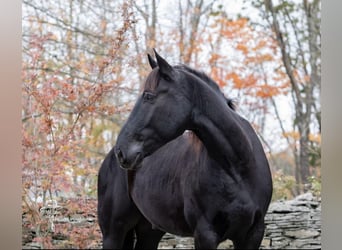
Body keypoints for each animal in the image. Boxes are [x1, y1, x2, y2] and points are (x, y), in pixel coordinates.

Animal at [99, 50, 272, 248]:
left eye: (149, 96)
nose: (122, 151)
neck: (239, 168)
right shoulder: (205, 234)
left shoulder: (253, 234)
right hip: (113, 233)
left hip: (149, 231)